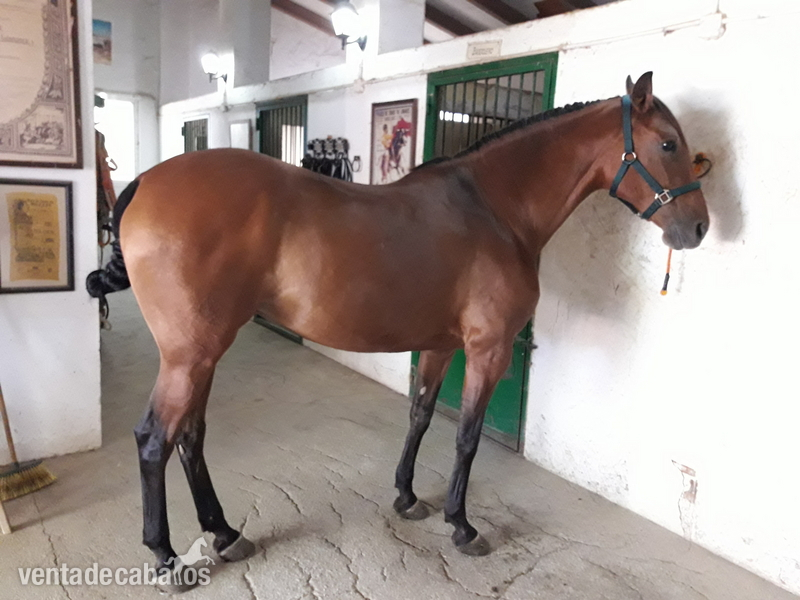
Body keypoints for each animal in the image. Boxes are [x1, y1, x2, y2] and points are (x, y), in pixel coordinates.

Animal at [86, 73, 709, 591]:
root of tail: (146, 182)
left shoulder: (440, 345)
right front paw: (461, 524)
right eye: (668, 144)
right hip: (190, 356)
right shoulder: (488, 350)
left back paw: (224, 533)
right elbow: (467, 436)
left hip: (203, 354)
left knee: (190, 437)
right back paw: (167, 558)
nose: (698, 227)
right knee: (155, 440)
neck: (495, 208)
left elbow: (422, 414)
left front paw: (408, 496)